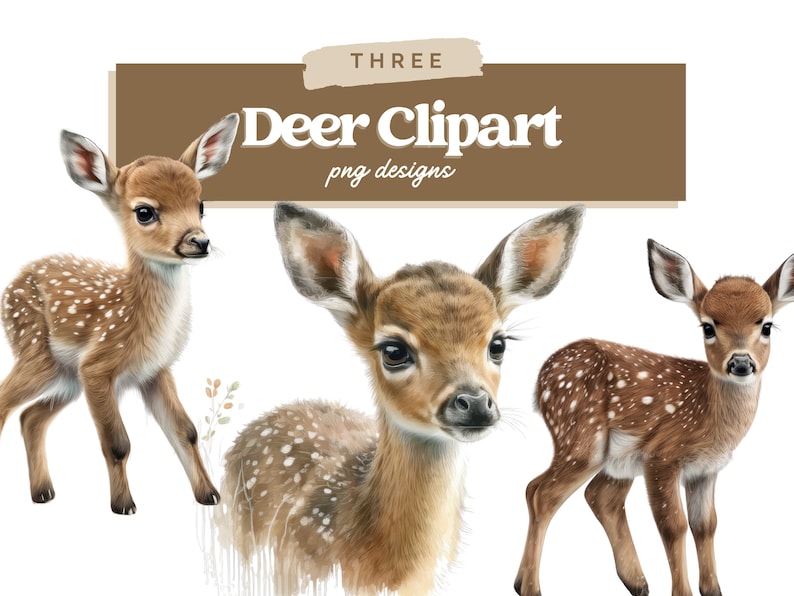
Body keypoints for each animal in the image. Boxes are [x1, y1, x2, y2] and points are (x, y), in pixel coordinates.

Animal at [0, 112, 240, 514]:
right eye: (145, 211)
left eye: (201, 204)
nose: (200, 241)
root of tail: (12, 283)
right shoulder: (98, 367)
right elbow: (118, 443)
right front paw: (123, 505)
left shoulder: (155, 370)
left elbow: (186, 431)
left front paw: (209, 496)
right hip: (36, 353)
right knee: (5, 403)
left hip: (66, 377)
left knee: (30, 417)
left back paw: (43, 492)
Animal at [513, 239, 794, 596]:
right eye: (708, 327)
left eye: (766, 325)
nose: (741, 363)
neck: (708, 415)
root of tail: (541, 379)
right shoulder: (662, 456)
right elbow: (673, 525)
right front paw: (682, 592)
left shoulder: (706, 469)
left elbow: (706, 525)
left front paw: (712, 590)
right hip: (582, 435)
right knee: (542, 493)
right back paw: (531, 587)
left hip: (617, 458)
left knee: (594, 495)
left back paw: (635, 582)